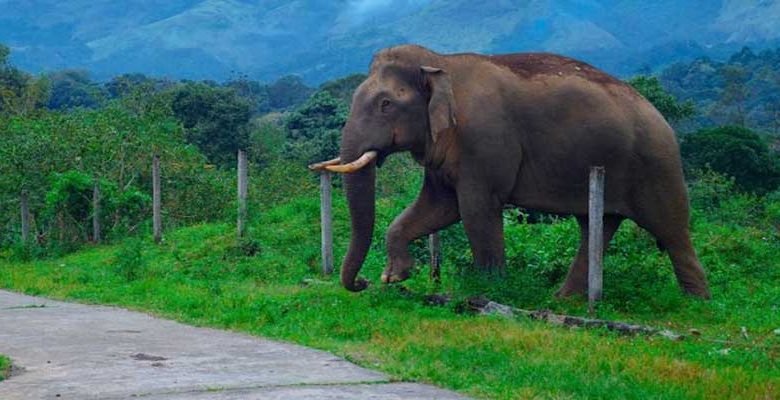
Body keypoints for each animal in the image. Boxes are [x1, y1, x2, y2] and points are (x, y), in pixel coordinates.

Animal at [310, 44, 711, 299]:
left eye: (386, 104)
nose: (362, 283)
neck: (440, 62)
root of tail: (662, 118)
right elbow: (438, 208)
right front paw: (396, 277)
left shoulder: (484, 141)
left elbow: (475, 209)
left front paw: (489, 289)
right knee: (595, 227)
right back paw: (562, 299)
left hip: (658, 166)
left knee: (672, 230)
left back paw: (696, 304)